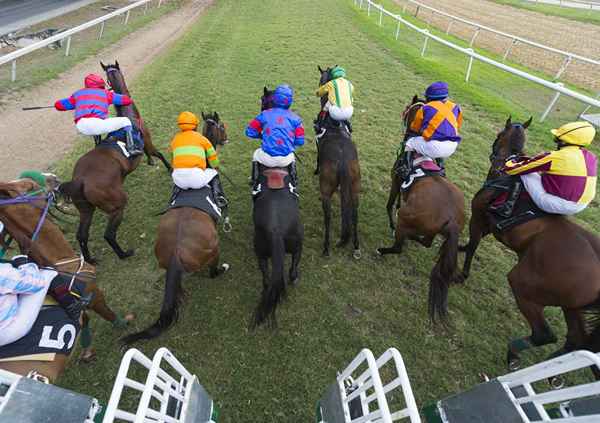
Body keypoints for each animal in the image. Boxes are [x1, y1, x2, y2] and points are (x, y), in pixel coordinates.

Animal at [0, 177, 132, 382]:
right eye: (29, 185)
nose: (54, 179)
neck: (58, 261)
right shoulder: (95, 296)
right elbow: (109, 314)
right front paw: (124, 323)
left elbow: (85, 320)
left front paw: (87, 353)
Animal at [122, 111, 232, 342]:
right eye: (222, 127)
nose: (227, 138)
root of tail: (176, 254)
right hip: (213, 249)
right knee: (213, 272)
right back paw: (223, 268)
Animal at [378, 95, 466, 322]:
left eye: (409, 108)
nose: (403, 112)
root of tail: (452, 218)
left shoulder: (395, 181)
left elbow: (390, 204)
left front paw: (390, 222)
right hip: (433, 228)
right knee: (426, 242)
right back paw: (412, 238)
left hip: (407, 218)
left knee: (399, 246)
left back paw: (384, 248)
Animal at [460, 117, 600, 372]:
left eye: (499, 135)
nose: (494, 154)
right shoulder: (489, 223)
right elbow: (472, 243)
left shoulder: (478, 216)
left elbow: (474, 244)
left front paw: (461, 274)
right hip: (572, 307)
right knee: (575, 340)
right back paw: (553, 369)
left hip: (525, 285)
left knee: (545, 334)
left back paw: (514, 354)